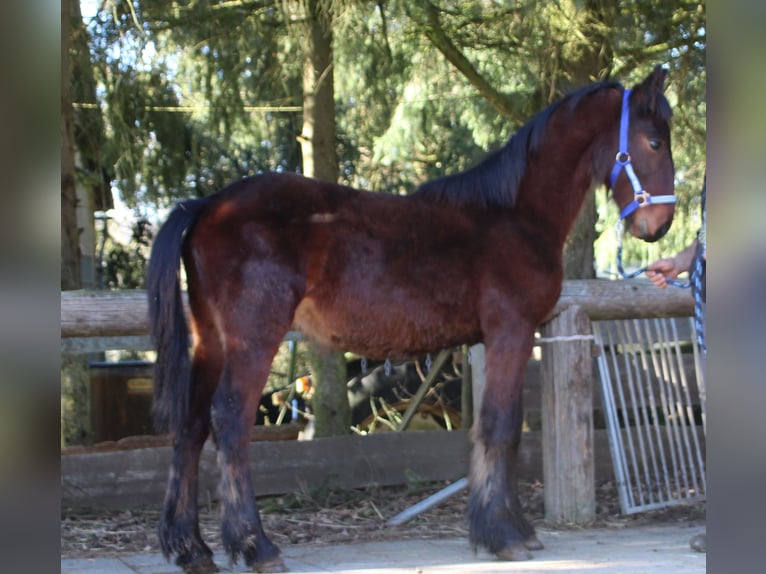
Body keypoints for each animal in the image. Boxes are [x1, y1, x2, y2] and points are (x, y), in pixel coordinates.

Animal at [148, 66, 680, 572]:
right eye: (654, 141)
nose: (660, 227)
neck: (511, 215)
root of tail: (206, 205)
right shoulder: (510, 331)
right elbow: (501, 427)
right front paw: (502, 535)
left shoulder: (493, 339)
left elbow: (495, 429)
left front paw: (514, 528)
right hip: (253, 338)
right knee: (230, 421)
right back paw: (255, 546)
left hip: (211, 341)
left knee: (191, 426)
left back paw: (191, 548)